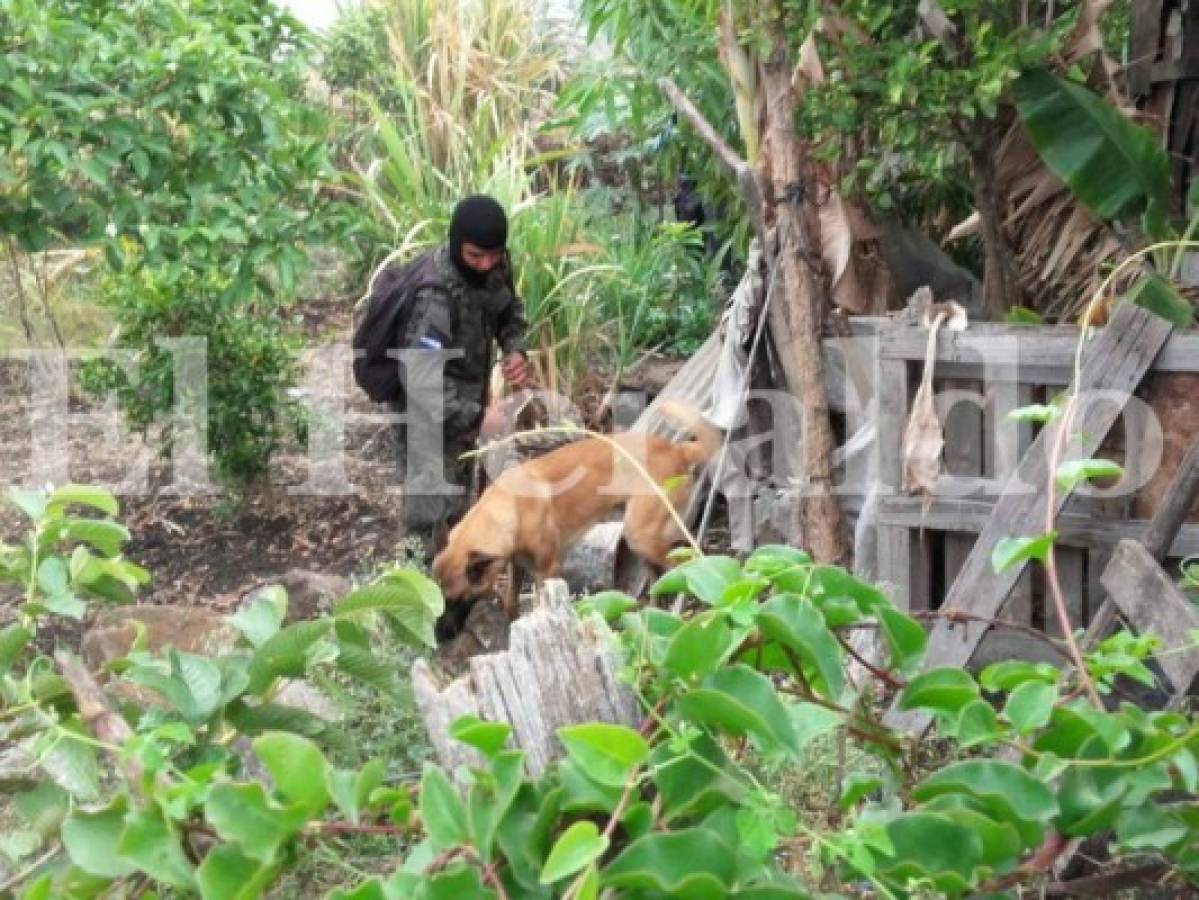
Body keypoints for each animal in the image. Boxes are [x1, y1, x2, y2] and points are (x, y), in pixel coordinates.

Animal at [434, 402, 719, 618]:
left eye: (457, 601)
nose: (439, 640)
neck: (509, 507)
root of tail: (677, 449)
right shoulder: (517, 566)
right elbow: (511, 603)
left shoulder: (548, 571)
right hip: (642, 542)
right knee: (658, 578)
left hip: (642, 535)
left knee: (688, 564)